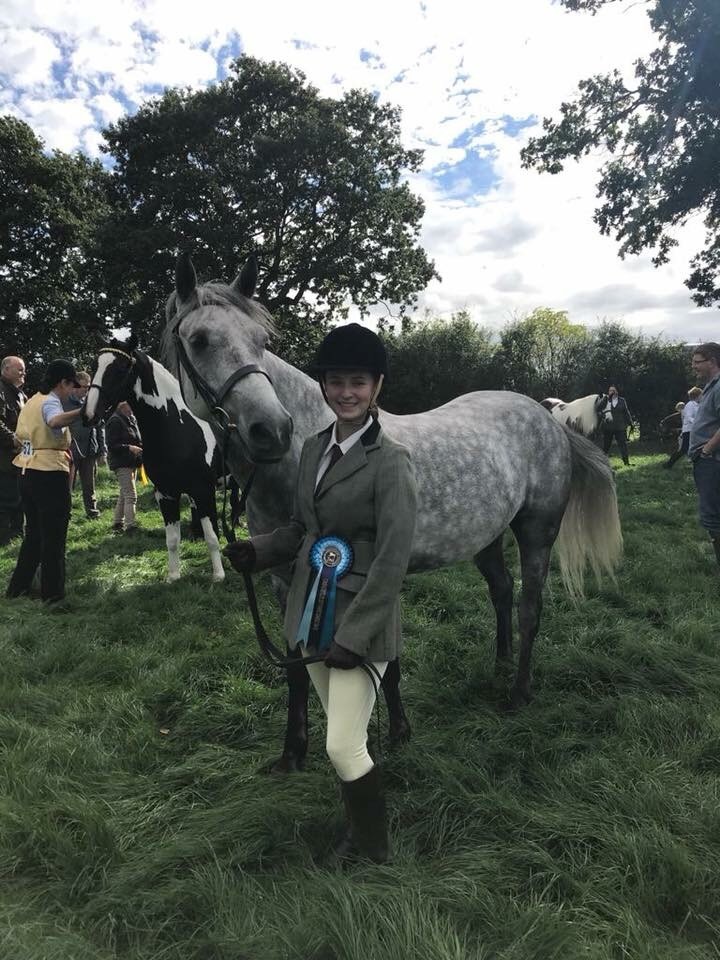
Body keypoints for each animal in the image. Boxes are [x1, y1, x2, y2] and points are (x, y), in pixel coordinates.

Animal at [84, 343, 225, 583]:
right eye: (96, 365)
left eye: (120, 369)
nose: (88, 413)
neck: (179, 427)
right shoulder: (166, 494)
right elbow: (173, 540)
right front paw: (174, 576)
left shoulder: (203, 491)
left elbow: (212, 536)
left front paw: (218, 575)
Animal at [160, 253, 623, 771]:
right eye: (199, 340)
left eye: (262, 341)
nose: (271, 430)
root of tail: (550, 419)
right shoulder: (286, 581)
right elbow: (296, 667)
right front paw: (292, 752)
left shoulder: (377, 573)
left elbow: (385, 661)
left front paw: (399, 731)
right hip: (486, 538)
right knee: (502, 593)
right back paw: (499, 666)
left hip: (537, 533)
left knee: (529, 608)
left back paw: (519, 692)